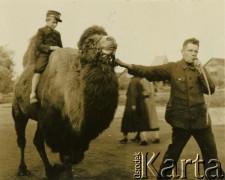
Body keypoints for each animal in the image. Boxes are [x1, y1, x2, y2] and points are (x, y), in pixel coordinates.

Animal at [12, 26, 118, 179]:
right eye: (89, 42)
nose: (111, 40)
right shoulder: (58, 127)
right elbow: (67, 157)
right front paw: (65, 172)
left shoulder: (78, 135)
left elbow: (74, 156)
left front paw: (58, 169)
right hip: (18, 111)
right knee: (22, 140)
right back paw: (22, 169)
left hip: (39, 119)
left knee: (37, 141)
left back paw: (50, 170)